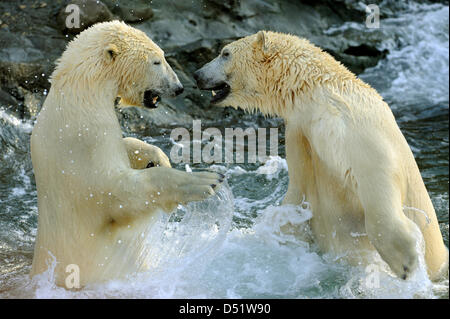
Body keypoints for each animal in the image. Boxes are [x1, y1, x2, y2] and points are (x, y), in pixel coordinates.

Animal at [29, 21, 223, 288]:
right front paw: (205, 180)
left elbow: (126, 146)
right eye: (156, 61)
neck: (78, 101)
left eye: (162, 56)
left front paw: (157, 157)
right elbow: (120, 191)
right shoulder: (84, 146)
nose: (179, 88)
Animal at [195, 31, 448, 282]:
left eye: (225, 53)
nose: (197, 75)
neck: (317, 91)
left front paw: (406, 262)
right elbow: (298, 193)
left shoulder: (349, 127)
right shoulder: (300, 131)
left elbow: (376, 176)